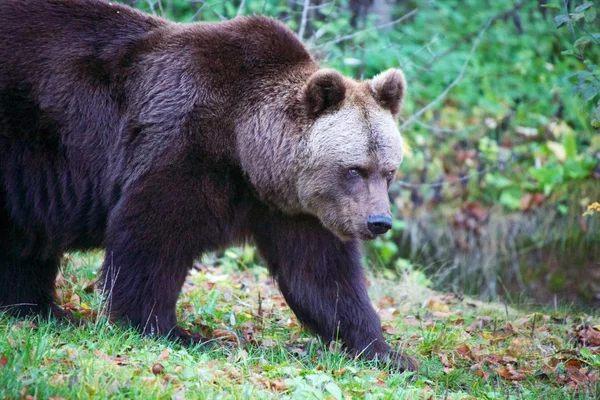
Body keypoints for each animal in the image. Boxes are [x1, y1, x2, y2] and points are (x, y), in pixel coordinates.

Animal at [1, 0, 418, 368]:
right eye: (354, 169)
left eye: (388, 171)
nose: (379, 222)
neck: (247, 152)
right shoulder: (185, 145)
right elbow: (151, 234)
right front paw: (170, 330)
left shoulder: (296, 208)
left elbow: (322, 275)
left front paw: (388, 352)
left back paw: (40, 309)